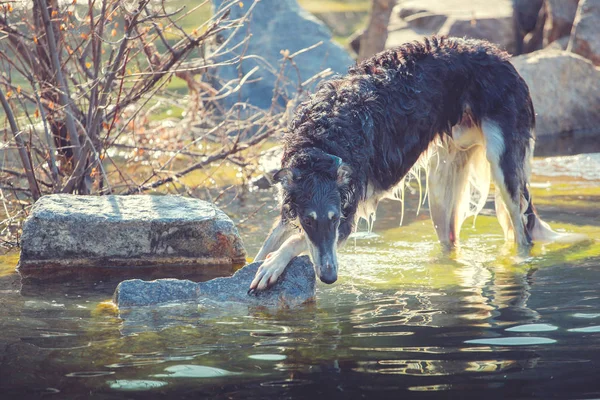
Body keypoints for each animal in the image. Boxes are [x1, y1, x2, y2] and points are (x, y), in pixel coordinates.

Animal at [248, 36, 564, 292]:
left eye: (334, 219)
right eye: (309, 221)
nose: (329, 278)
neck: (322, 142)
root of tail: (503, 56)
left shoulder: (347, 216)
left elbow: (293, 242)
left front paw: (271, 266)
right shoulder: (294, 208)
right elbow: (272, 241)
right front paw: (259, 263)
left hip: (502, 165)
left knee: (523, 236)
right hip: (442, 190)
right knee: (451, 241)